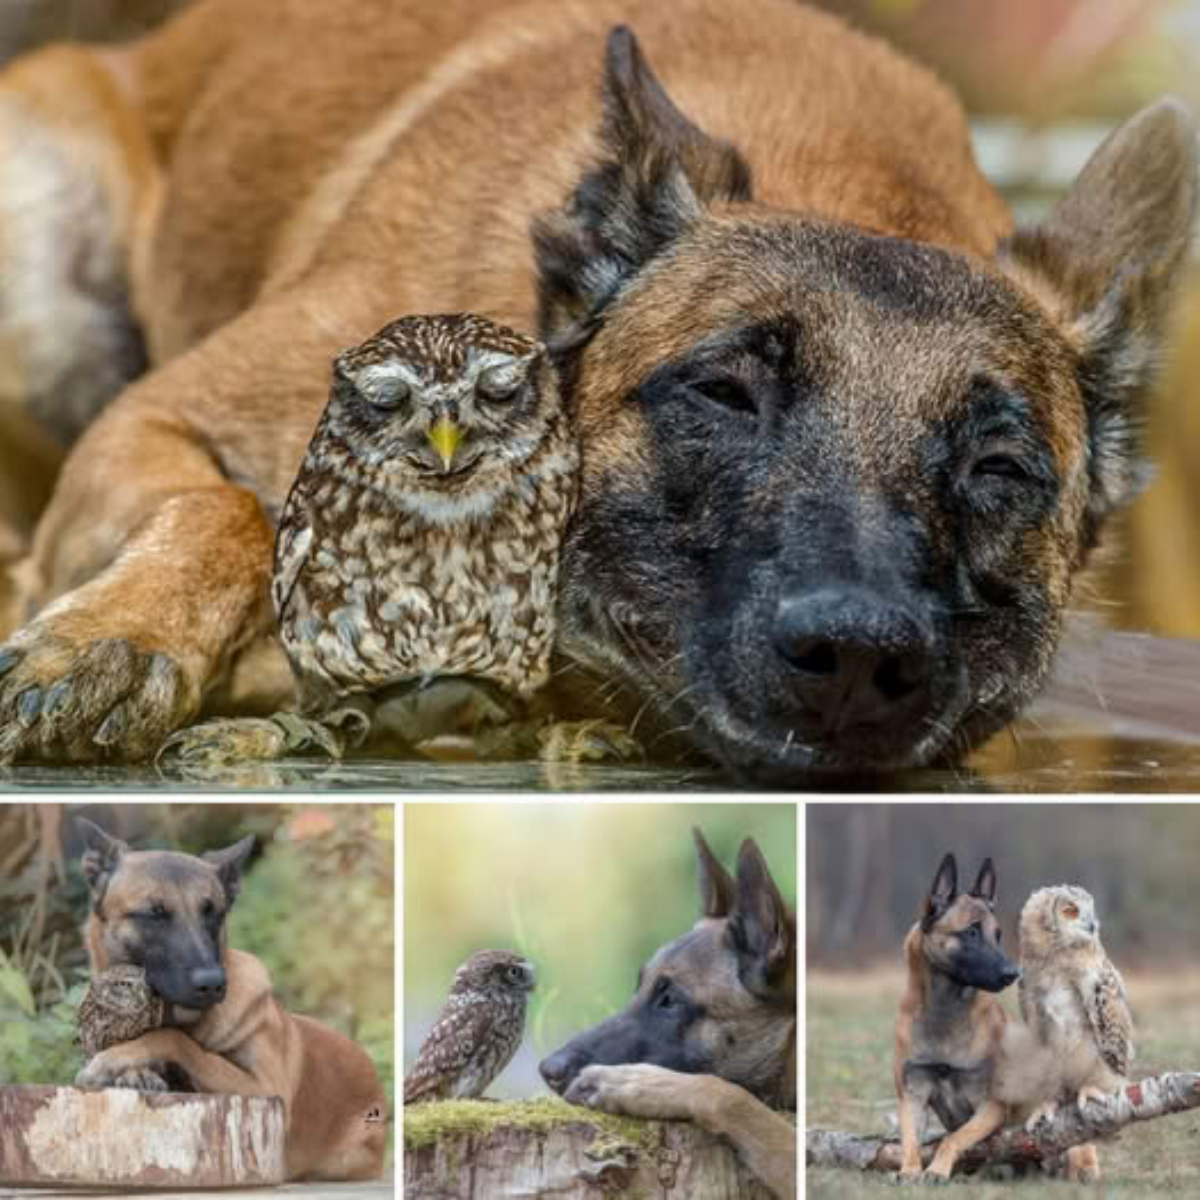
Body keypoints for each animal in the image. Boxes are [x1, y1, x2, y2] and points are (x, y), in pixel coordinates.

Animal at [2, 0, 1200, 777]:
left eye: (1000, 470)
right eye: (722, 396)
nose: (857, 658)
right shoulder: (151, 418)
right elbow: (230, 509)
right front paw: (116, 640)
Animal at [70, 816, 386, 1180]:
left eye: (213, 913)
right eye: (153, 913)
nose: (212, 984)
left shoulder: (266, 1088)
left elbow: (178, 1040)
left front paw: (115, 1060)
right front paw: (134, 1072)